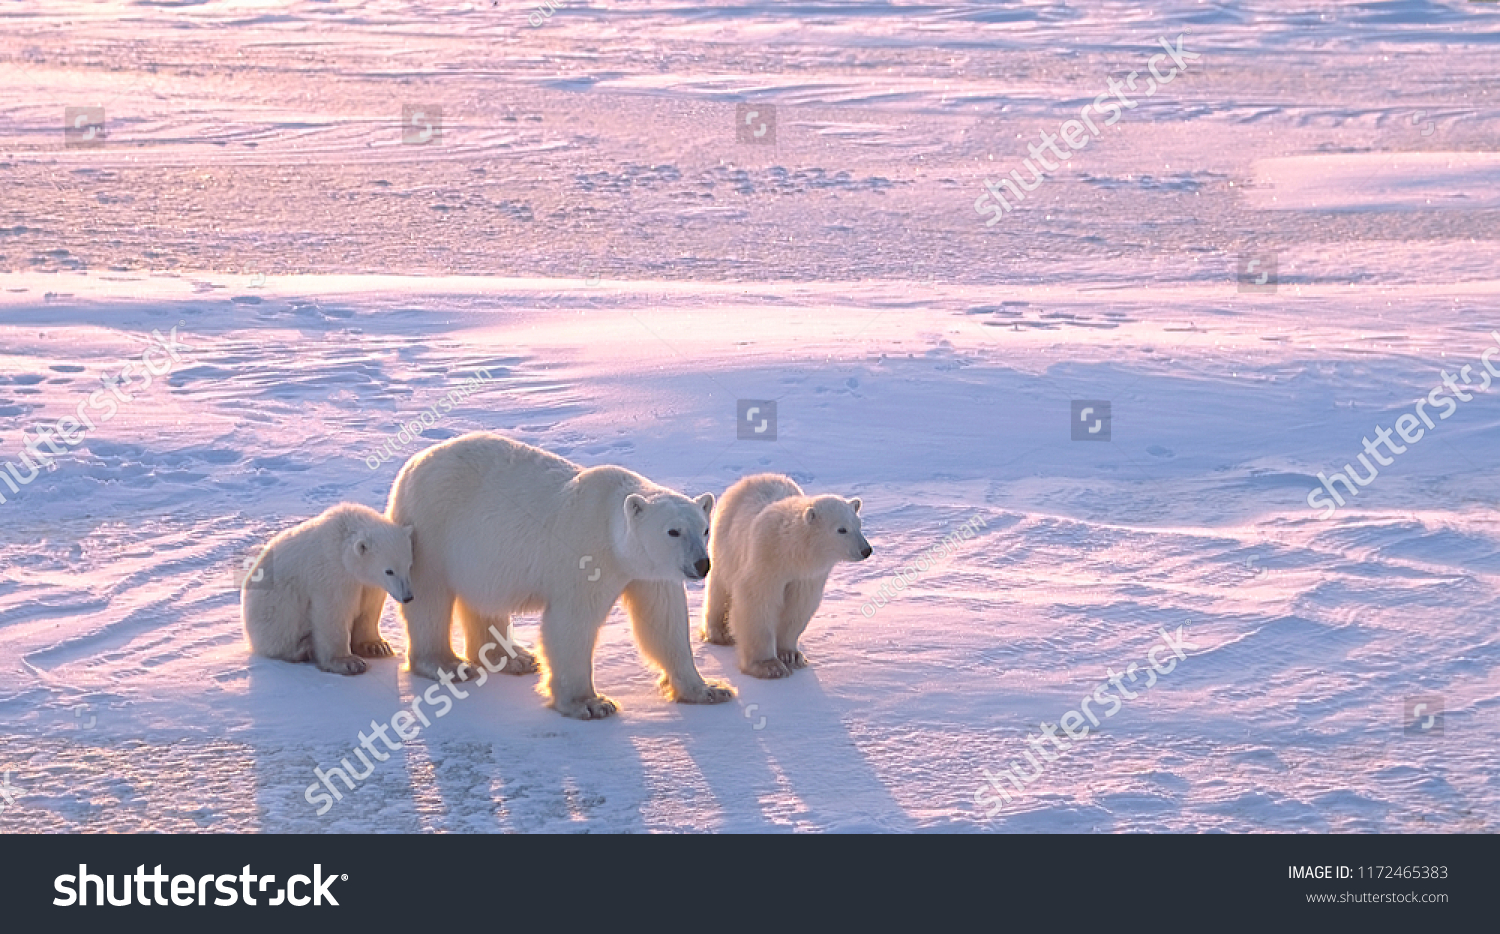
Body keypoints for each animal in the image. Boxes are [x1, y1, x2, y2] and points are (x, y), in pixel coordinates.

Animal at [243, 506, 414, 674]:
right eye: (389, 571)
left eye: (408, 565)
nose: (408, 597)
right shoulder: (331, 573)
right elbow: (332, 611)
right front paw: (348, 662)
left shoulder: (368, 584)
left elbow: (370, 608)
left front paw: (377, 646)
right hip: (273, 605)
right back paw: (303, 649)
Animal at [387, 431, 732, 722]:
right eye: (673, 531)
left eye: (704, 529)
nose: (702, 564)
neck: (611, 529)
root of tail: (413, 464)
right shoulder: (586, 553)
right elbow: (572, 623)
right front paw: (590, 704)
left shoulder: (649, 573)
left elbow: (664, 622)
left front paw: (709, 690)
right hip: (432, 527)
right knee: (430, 597)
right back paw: (447, 663)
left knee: (483, 599)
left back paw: (513, 657)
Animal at [699, 473, 870, 680]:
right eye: (841, 529)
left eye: (859, 524)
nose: (866, 550)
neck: (790, 552)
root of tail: (752, 477)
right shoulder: (766, 560)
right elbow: (756, 602)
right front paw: (768, 666)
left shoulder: (806, 576)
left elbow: (798, 606)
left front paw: (791, 655)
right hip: (726, 539)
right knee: (719, 585)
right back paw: (719, 633)